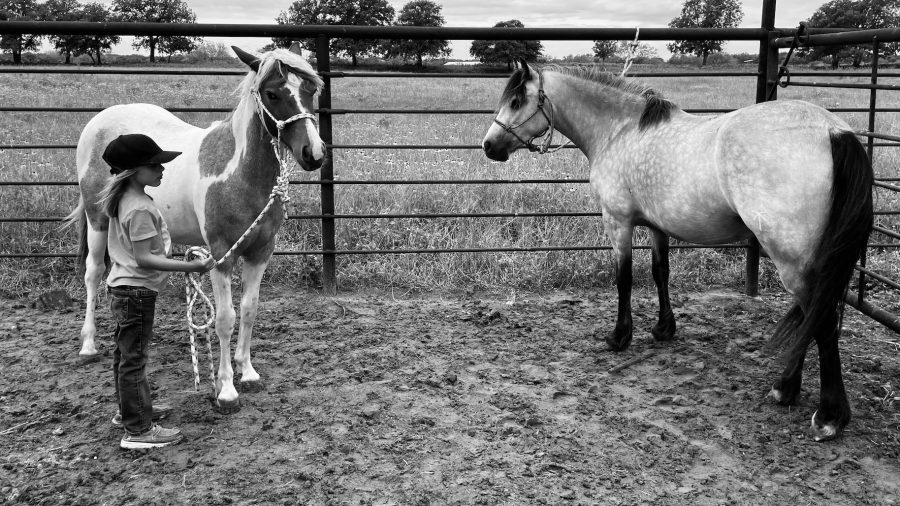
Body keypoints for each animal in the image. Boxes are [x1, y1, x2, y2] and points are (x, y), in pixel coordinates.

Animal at [68, 44, 325, 411]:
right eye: (272, 93)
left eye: (310, 90)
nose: (313, 153)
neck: (238, 173)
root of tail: (99, 122)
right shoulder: (221, 255)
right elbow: (225, 318)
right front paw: (226, 388)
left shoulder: (260, 251)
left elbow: (249, 309)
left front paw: (247, 370)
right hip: (97, 219)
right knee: (92, 273)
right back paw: (88, 344)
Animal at [481, 59, 873, 441]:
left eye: (516, 101)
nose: (488, 146)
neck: (621, 132)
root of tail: (833, 131)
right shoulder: (658, 226)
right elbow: (660, 273)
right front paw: (664, 328)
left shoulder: (618, 222)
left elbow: (624, 279)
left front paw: (619, 337)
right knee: (813, 318)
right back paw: (786, 390)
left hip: (792, 261)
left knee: (821, 321)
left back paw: (829, 415)